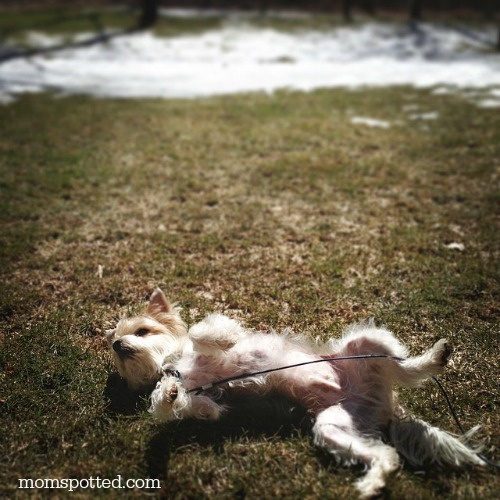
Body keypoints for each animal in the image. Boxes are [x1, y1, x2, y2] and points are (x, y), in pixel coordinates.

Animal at [105, 288, 484, 498]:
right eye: (115, 348)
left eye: (142, 330)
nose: (117, 344)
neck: (177, 362)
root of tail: (384, 405)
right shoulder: (192, 386)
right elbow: (179, 401)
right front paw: (175, 397)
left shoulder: (201, 344)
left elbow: (201, 331)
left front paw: (223, 337)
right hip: (333, 427)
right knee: (386, 456)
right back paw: (372, 484)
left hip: (366, 344)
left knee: (408, 368)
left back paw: (437, 355)